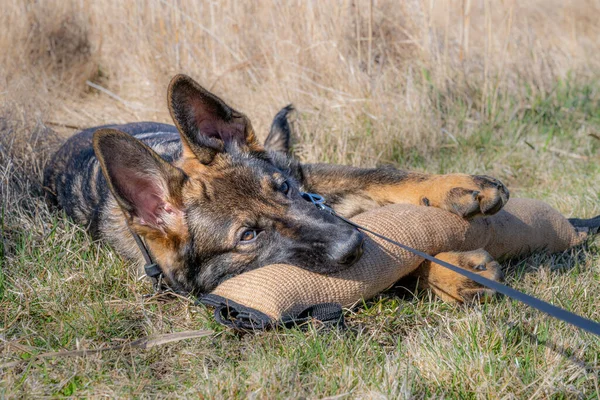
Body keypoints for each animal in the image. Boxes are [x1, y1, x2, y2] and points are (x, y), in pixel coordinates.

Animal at [44, 73, 508, 298]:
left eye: (282, 188)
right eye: (248, 236)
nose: (352, 246)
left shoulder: (307, 179)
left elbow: (381, 174)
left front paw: (458, 186)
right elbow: (390, 270)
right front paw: (447, 273)